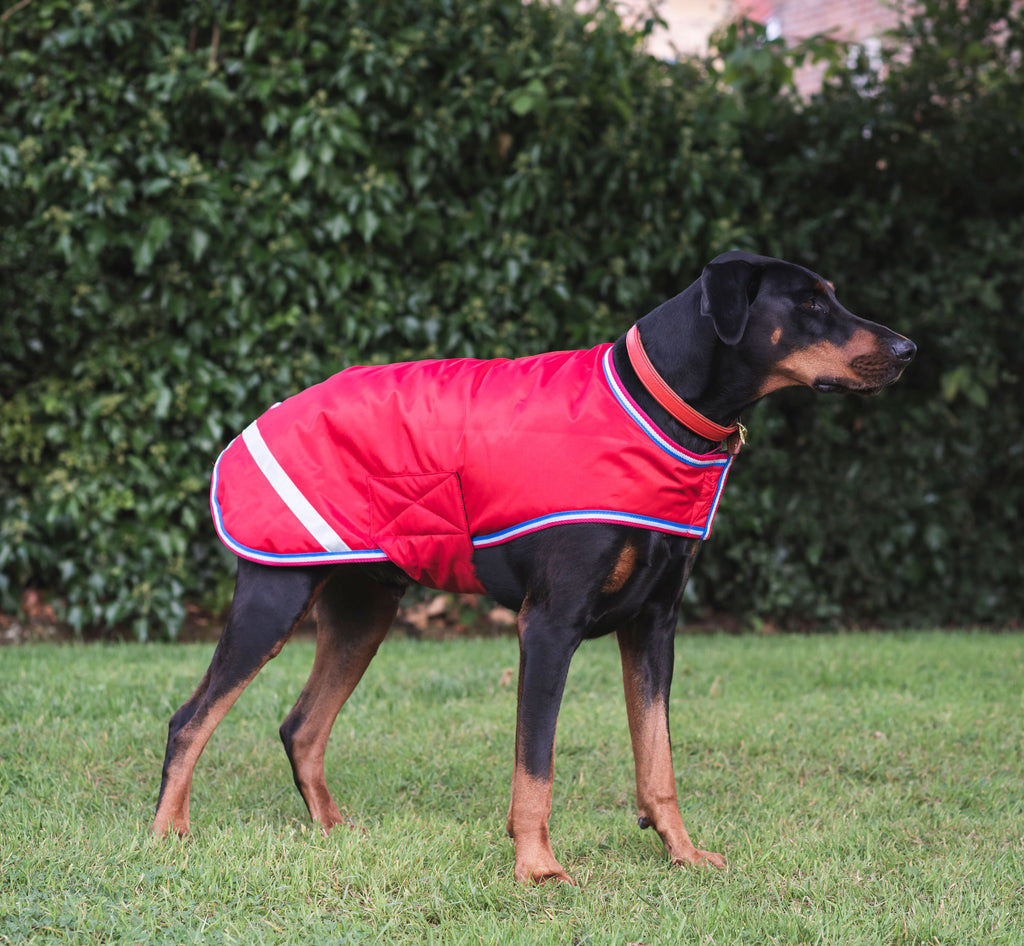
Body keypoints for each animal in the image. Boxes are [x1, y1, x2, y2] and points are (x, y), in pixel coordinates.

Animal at [149, 247, 913, 884]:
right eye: (808, 303)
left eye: (831, 295)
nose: (908, 349)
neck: (658, 404)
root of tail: (266, 415)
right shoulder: (548, 627)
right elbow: (535, 765)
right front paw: (538, 868)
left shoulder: (654, 625)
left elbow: (657, 757)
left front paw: (681, 851)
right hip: (273, 599)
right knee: (190, 719)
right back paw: (167, 835)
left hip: (365, 610)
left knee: (301, 727)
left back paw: (334, 830)